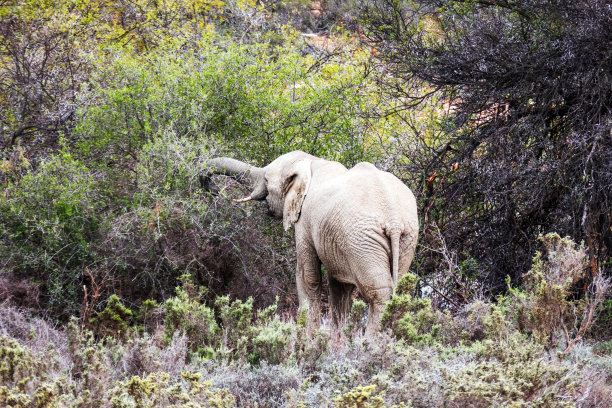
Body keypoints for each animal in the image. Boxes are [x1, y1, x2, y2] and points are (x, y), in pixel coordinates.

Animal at [203, 151, 418, 334]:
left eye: (266, 180)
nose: (215, 190)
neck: (311, 162)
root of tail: (394, 220)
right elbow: (339, 284)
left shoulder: (304, 220)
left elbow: (308, 276)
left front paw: (308, 340)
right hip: (405, 238)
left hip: (363, 240)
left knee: (378, 293)